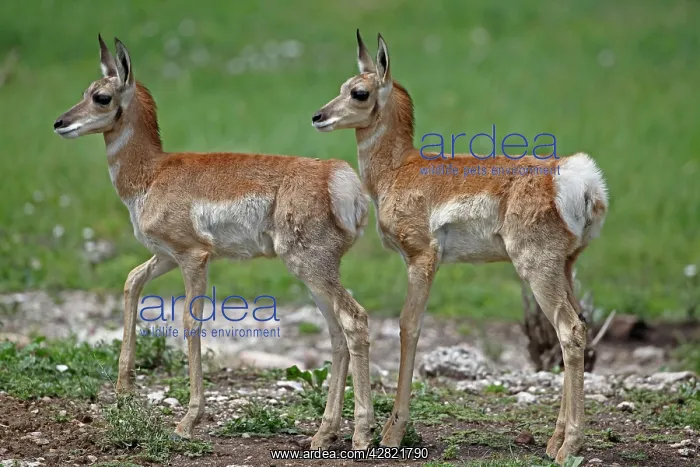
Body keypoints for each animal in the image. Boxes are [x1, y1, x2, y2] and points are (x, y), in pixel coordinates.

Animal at [53, 35, 375, 449]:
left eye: (102, 97)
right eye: (86, 90)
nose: (60, 123)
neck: (153, 172)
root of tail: (338, 176)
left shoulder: (193, 257)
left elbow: (191, 320)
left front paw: (187, 421)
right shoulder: (165, 256)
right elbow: (131, 281)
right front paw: (124, 390)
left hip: (312, 268)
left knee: (354, 320)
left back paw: (362, 434)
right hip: (315, 275)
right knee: (337, 333)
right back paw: (324, 434)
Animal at [311, 30, 608, 464]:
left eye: (360, 92)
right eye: (342, 86)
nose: (319, 117)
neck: (401, 167)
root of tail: (575, 178)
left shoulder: (422, 259)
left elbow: (408, 327)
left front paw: (391, 434)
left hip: (537, 269)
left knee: (569, 329)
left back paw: (569, 445)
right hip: (565, 268)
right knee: (579, 326)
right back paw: (555, 441)